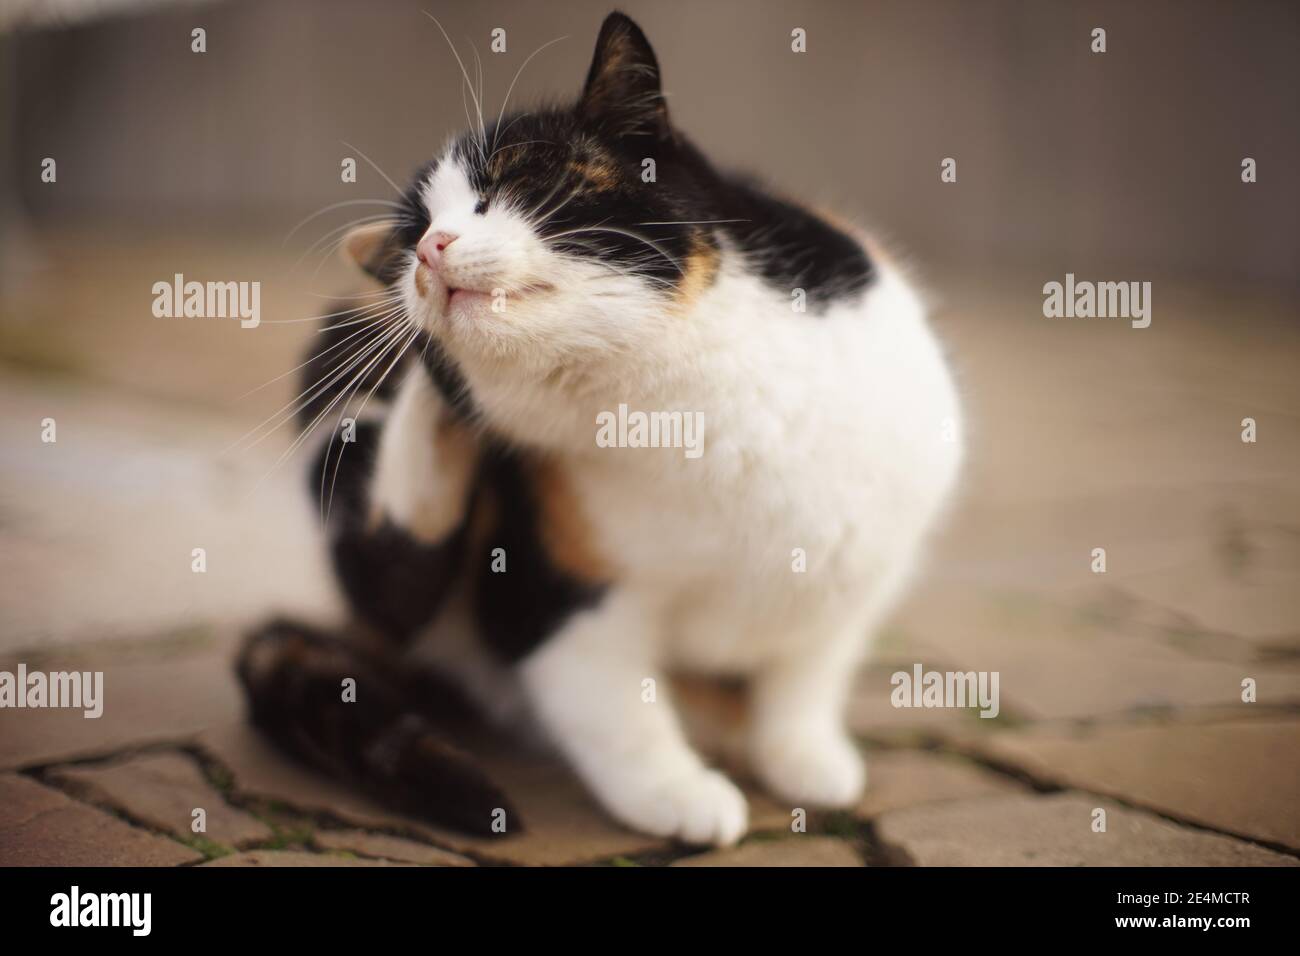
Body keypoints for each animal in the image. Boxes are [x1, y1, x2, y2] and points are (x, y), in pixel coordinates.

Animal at [239, 11, 961, 848]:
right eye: (415, 226)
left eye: (506, 185)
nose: (424, 251)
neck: (679, 406)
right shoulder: (553, 590)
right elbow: (614, 706)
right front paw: (681, 795)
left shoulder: (860, 567)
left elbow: (808, 672)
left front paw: (806, 757)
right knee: (394, 564)